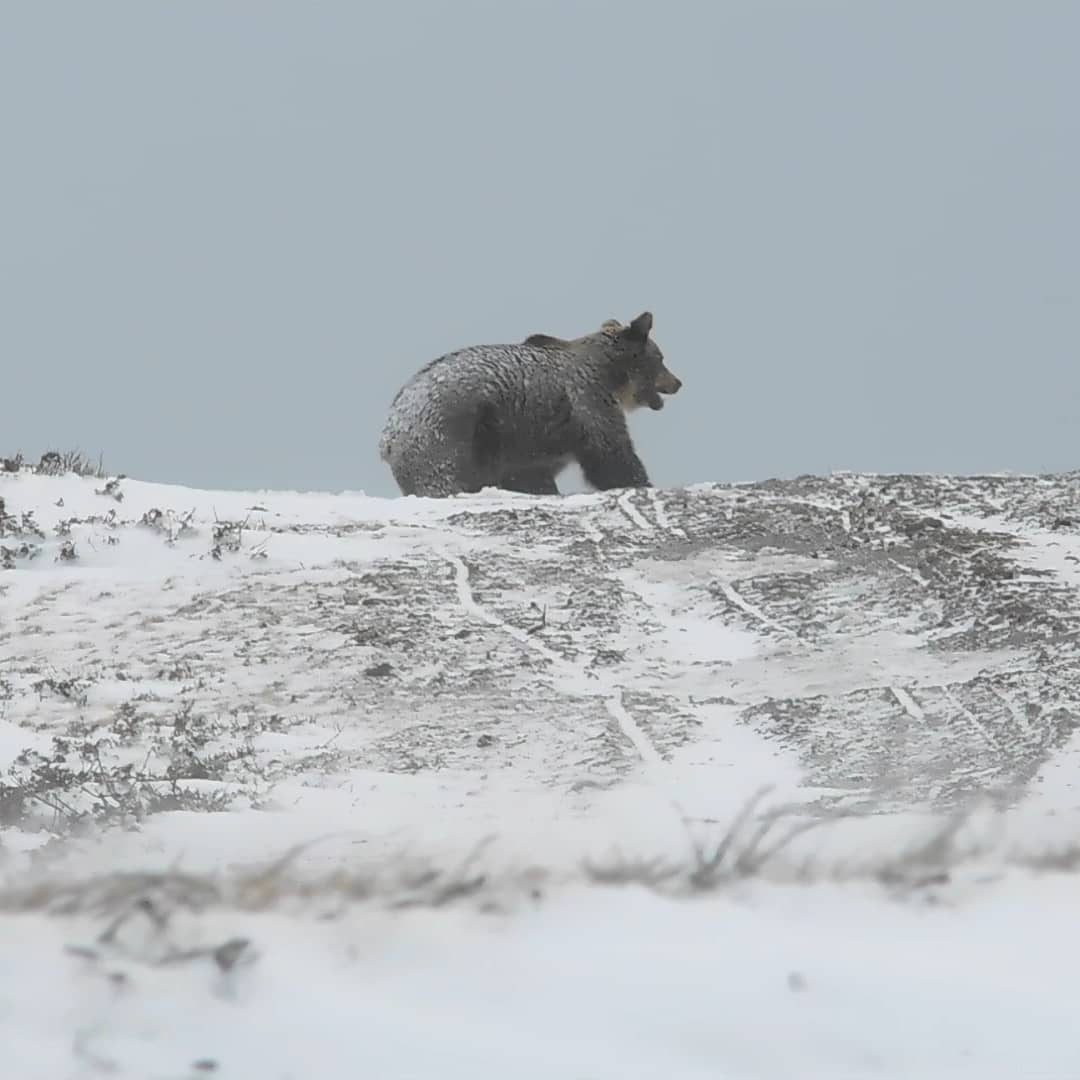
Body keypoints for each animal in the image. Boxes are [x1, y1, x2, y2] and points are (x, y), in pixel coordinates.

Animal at [380, 311, 678, 498]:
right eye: (661, 357)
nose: (678, 382)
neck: (611, 375)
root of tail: (388, 433)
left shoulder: (528, 443)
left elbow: (530, 475)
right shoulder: (587, 400)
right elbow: (611, 454)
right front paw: (643, 483)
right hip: (449, 432)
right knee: (444, 476)